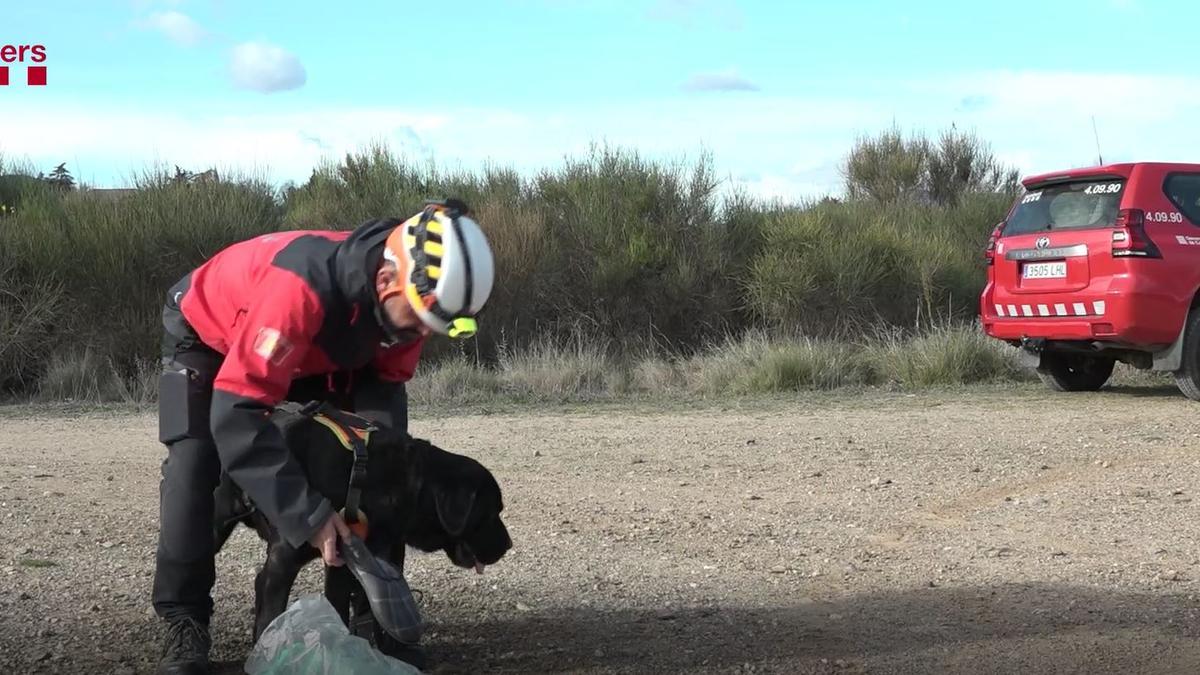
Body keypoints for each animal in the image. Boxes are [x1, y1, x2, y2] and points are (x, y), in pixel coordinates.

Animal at [211, 403, 511, 658]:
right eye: (490, 512)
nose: (508, 545)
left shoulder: (342, 557)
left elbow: (338, 607)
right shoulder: (282, 561)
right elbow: (271, 614)